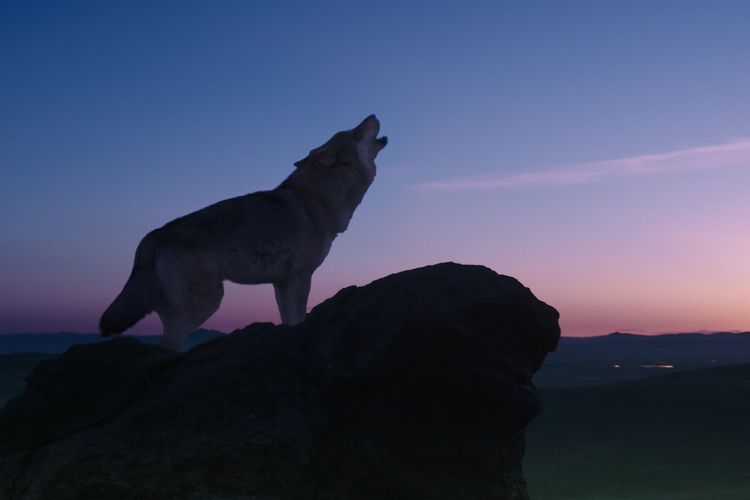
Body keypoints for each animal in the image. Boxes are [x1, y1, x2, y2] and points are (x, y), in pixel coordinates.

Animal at [100, 115, 387, 350]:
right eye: (355, 132)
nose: (373, 114)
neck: (318, 198)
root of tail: (152, 236)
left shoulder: (281, 282)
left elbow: (288, 320)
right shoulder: (300, 277)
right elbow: (297, 319)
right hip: (210, 300)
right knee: (169, 341)